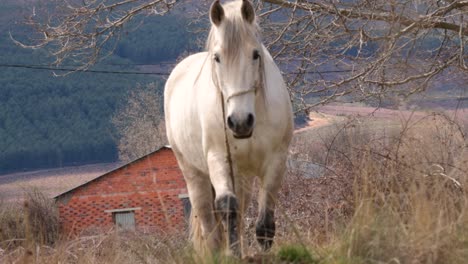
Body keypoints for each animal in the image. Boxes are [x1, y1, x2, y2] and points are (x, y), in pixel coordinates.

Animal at [165, 0, 292, 256]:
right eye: (217, 58)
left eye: (255, 54)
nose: (240, 121)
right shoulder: (219, 160)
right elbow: (227, 207)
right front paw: (232, 255)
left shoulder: (276, 161)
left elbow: (264, 224)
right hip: (195, 175)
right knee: (209, 224)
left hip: (242, 177)